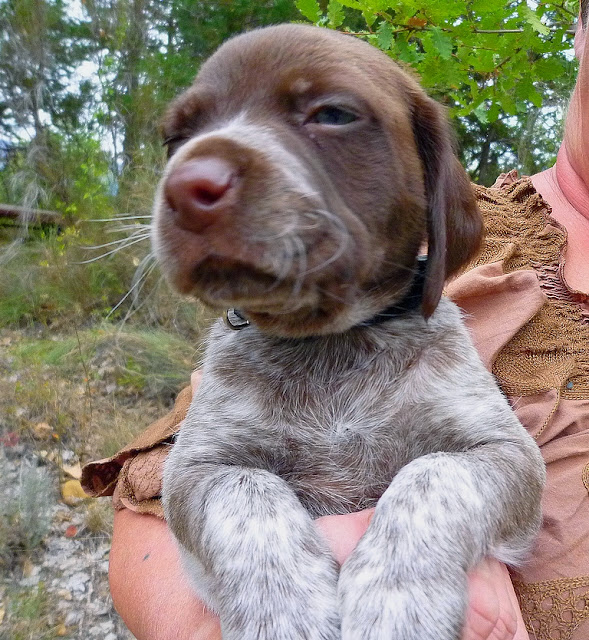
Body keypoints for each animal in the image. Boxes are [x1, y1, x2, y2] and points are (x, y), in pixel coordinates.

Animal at [150, 23, 544, 640]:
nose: (185, 186)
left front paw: (398, 601)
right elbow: (248, 496)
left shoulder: (508, 455)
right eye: (177, 137)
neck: (329, 342)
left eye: (332, 115)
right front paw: (284, 611)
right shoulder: (194, 470)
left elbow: (432, 475)